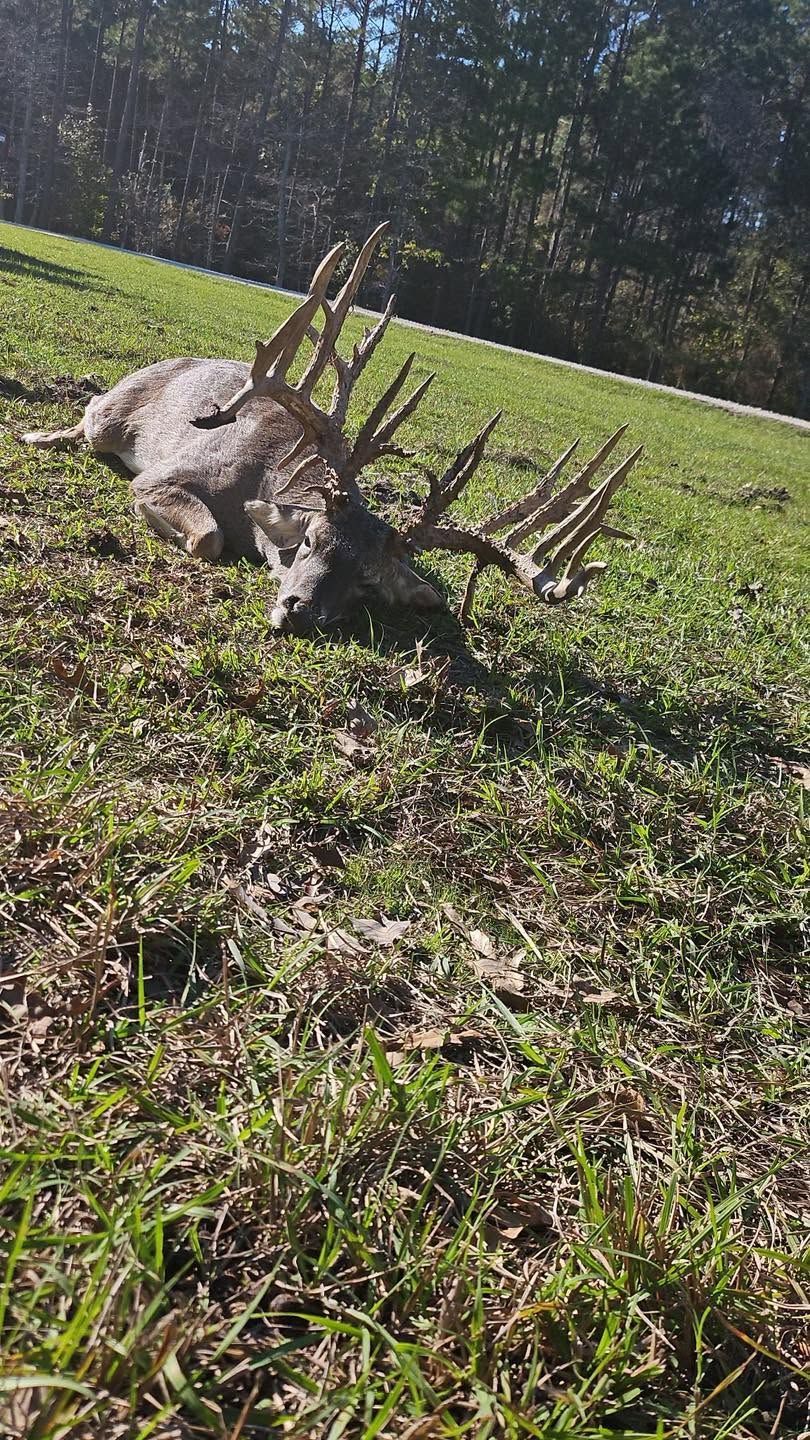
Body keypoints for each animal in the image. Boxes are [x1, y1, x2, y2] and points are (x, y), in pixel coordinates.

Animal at [21, 223, 642, 633]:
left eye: (368, 581)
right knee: (90, 411)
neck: (270, 481)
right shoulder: (167, 474)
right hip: (112, 415)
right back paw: (39, 435)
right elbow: (207, 536)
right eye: (311, 541)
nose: (299, 612)